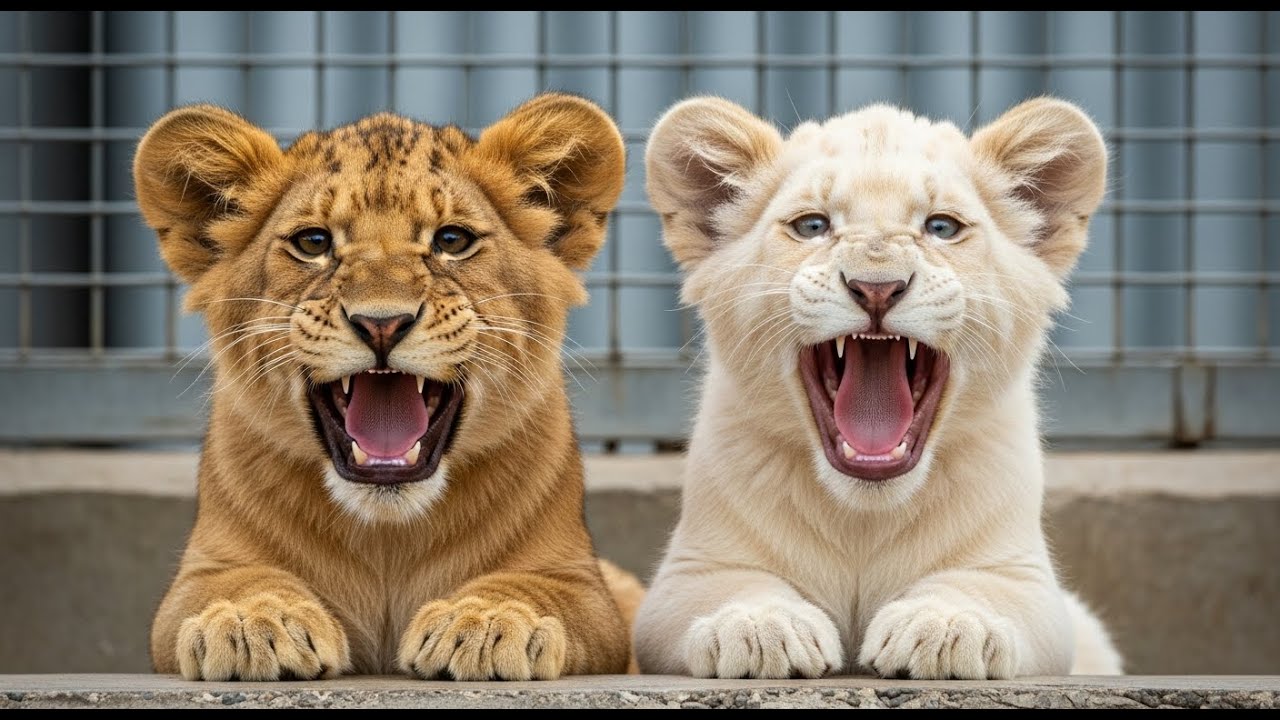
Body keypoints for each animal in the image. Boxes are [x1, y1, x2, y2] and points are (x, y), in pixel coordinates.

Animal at [133, 94, 634, 681]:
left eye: (452, 240)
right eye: (313, 242)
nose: (382, 324)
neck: (387, 539)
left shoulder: (586, 588)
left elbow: (533, 589)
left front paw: (486, 621)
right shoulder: (199, 575)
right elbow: (235, 583)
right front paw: (252, 621)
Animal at [633, 96, 1124, 679]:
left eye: (941, 227)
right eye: (812, 225)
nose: (877, 287)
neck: (862, 518)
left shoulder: (1024, 579)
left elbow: (979, 589)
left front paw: (947, 628)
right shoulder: (688, 574)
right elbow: (731, 587)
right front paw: (761, 629)